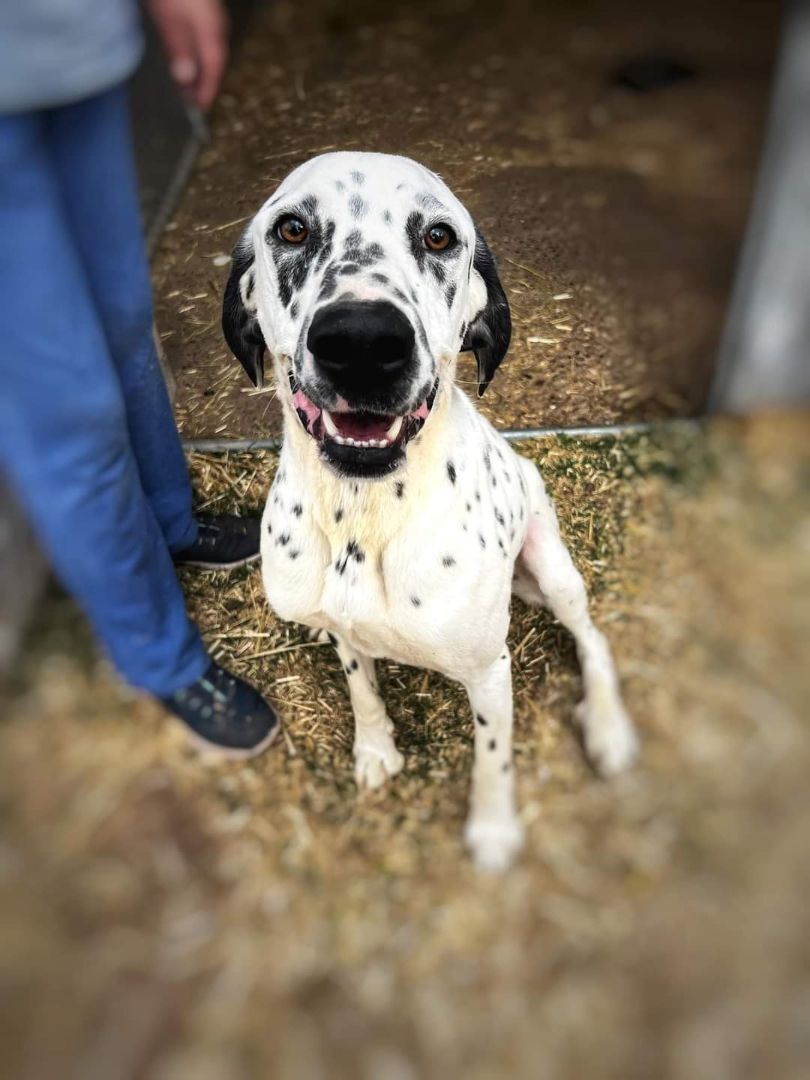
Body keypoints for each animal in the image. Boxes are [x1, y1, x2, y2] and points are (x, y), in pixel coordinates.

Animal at [222, 152, 639, 868]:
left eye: (440, 236)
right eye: (292, 229)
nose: (362, 340)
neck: (362, 517)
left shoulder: (490, 672)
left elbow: (494, 758)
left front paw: (493, 829)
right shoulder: (346, 631)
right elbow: (361, 686)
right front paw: (375, 750)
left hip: (555, 568)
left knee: (593, 640)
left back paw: (608, 726)